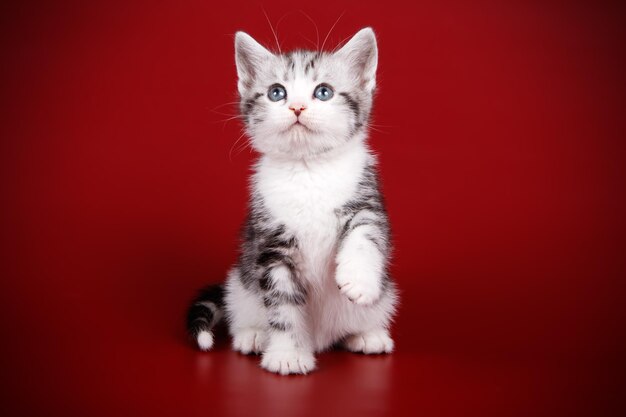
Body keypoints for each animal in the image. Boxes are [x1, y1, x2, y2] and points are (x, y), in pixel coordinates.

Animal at [188, 28, 398, 374]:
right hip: (240, 285)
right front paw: (287, 353)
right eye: (277, 93)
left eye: (323, 92)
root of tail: (323, 338)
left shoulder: (367, 199)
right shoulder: (271, 243)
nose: (297, 107)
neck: (307, 168)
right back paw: (253, 335)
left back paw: (367, 334)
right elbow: (283, 304)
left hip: (385, 295)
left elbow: (366, 235)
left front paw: (357, 280)